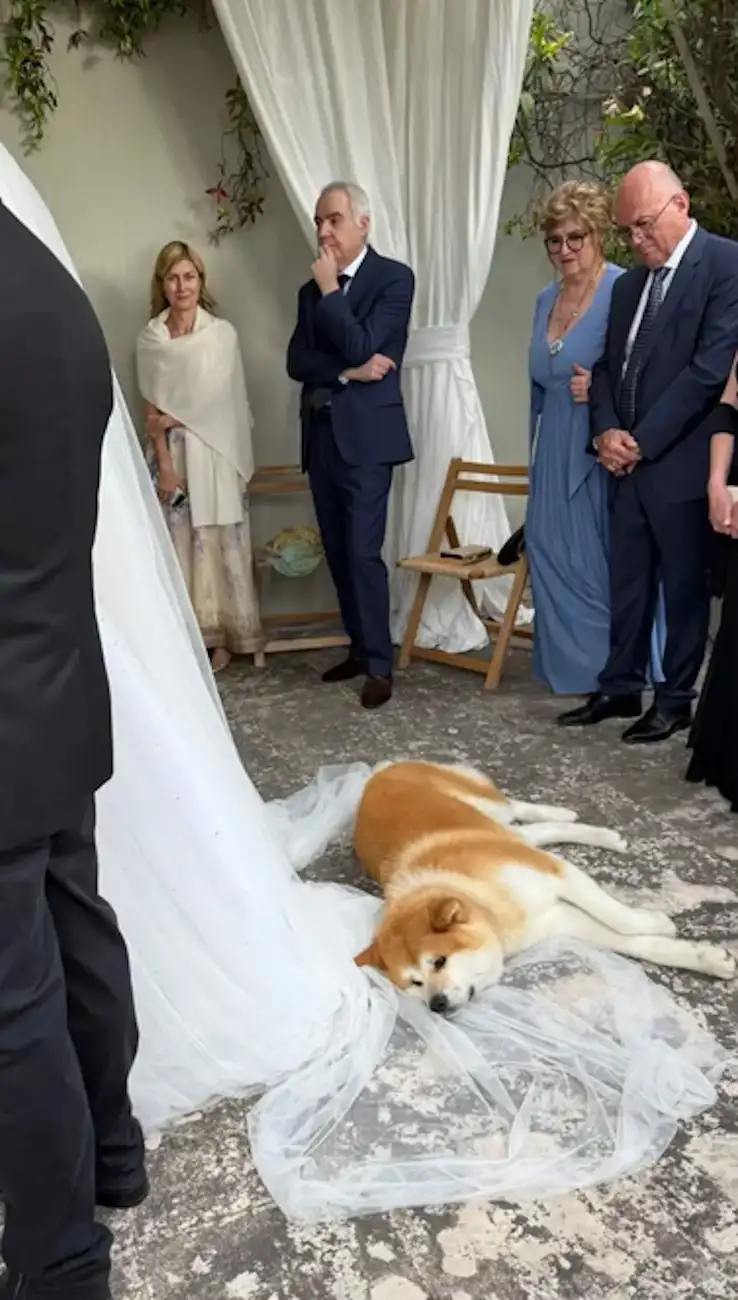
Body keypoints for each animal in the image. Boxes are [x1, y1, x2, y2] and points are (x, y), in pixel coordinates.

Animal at [353, 760, 736, 1013]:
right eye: (414, 983)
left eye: (439, 962)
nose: (436, 1004)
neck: (494, 910)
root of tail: (378, 772)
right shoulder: (561, 921)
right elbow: (638, 944)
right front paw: (707, 958)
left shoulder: (558, 873)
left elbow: (622, 920)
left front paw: (656, 922)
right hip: (503, 833)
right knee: (532, 833)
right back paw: (598, 833)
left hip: (488, 808)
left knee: (517, 808)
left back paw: (567, 815)